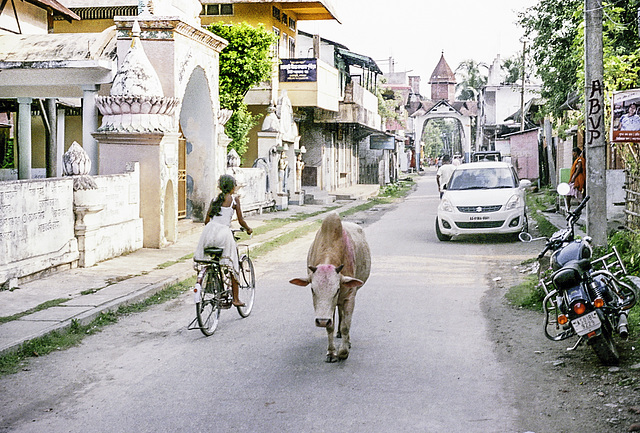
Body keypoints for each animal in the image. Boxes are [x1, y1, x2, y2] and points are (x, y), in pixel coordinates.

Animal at [290, 211, 370, 360]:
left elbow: (346, 325)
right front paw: (331, 352)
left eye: (336, 290)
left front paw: (343, 351)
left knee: (343, 316)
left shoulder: (349, 295)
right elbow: (330, 327)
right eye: (312, 290)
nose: (321, 321)